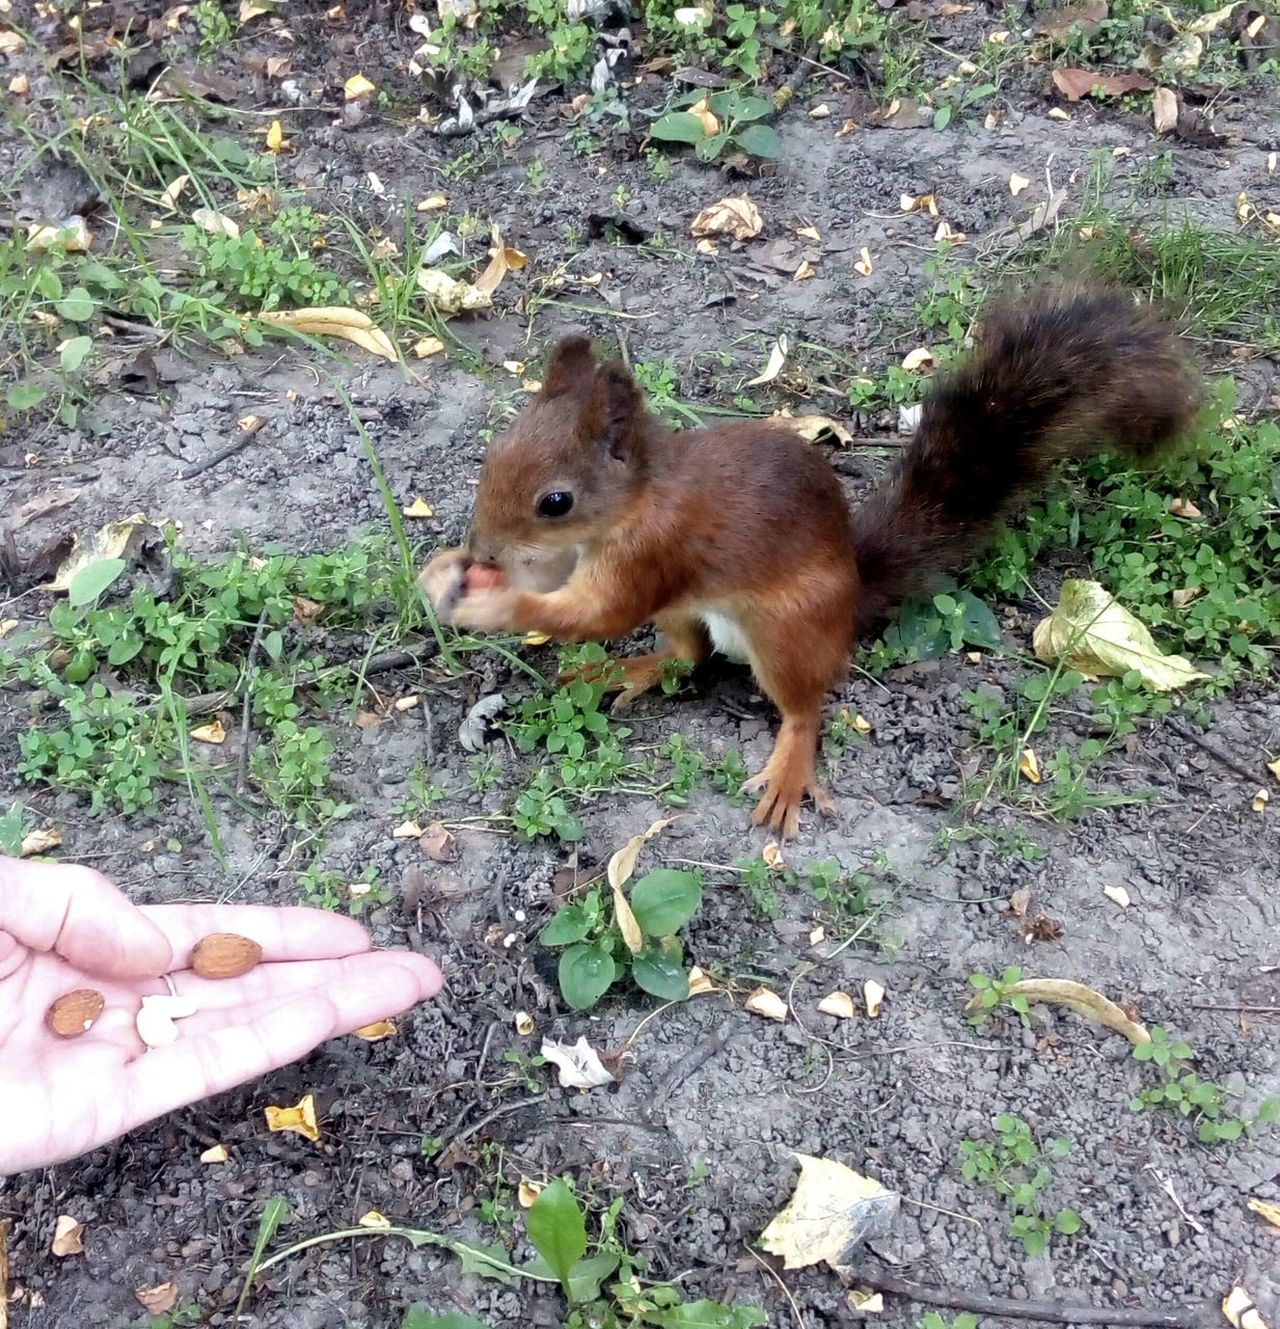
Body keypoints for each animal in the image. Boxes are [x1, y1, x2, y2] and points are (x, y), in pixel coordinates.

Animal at [422, 288, 1201, 839]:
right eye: (494, 455)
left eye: (555, 501)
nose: (483, 549)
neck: (638, 499)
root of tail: (851, 596)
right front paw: (447, 569)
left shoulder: (654, 553)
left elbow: (598, 610)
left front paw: (494, 602)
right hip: (690, 614)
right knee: (686, 656)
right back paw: (624, 669)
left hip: (786, 631)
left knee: (802, 706)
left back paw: (788, 768)